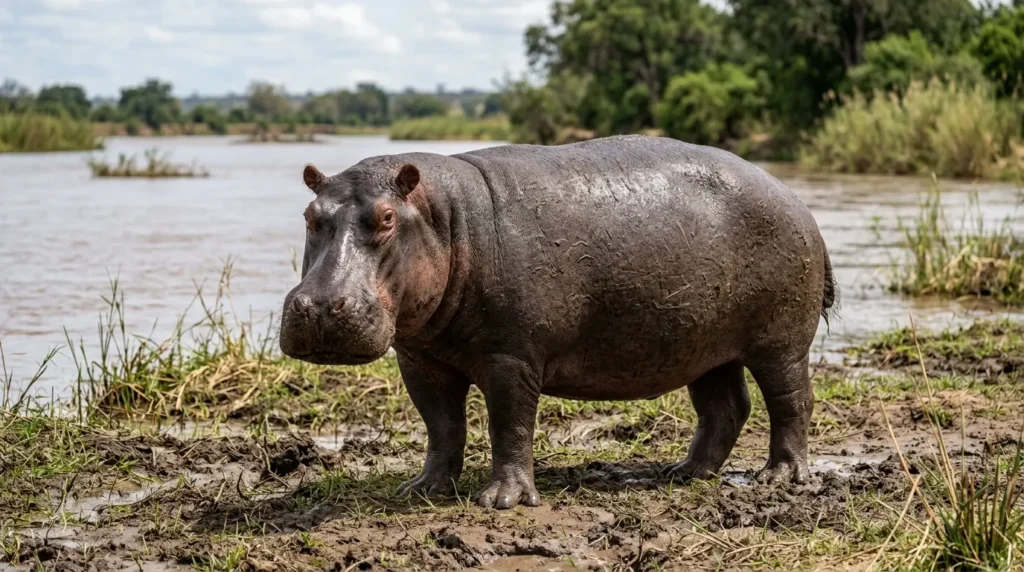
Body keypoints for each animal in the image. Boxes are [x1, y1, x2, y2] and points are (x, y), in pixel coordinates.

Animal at [280, 135, 837, 509]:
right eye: (309, 215)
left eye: (387, 218)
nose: (320, 306)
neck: (445, 219)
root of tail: (796, 200)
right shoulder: (421, 359)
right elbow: (441, 425)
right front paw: (423, 488)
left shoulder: (511, 356)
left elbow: (510, 423)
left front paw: (501, 500)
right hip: (703, 344)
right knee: (726, 407)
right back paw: (684, 472)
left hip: (780, 342)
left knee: (792, 401)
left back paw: (780, 478)